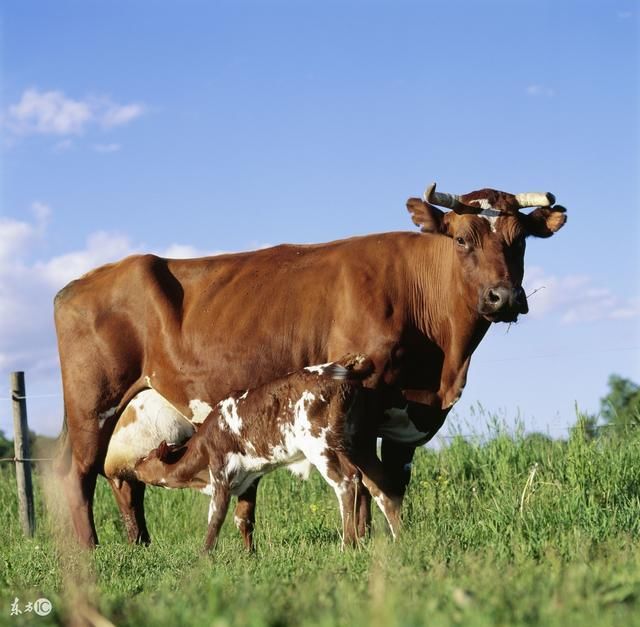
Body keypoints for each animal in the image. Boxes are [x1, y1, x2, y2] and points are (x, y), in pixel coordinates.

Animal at [131, 356, 400, 552]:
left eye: (146, 457)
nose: (134, 466)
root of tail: (340, 368)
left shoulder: (221, 475)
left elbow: (215, 519)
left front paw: (204, 556)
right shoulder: (248, 477)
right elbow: (242, 517)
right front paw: (250, 554)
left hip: (322, 445)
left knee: (347, 482)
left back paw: (348, 545)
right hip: (360, 441)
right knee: (379, 483)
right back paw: (400, 536)